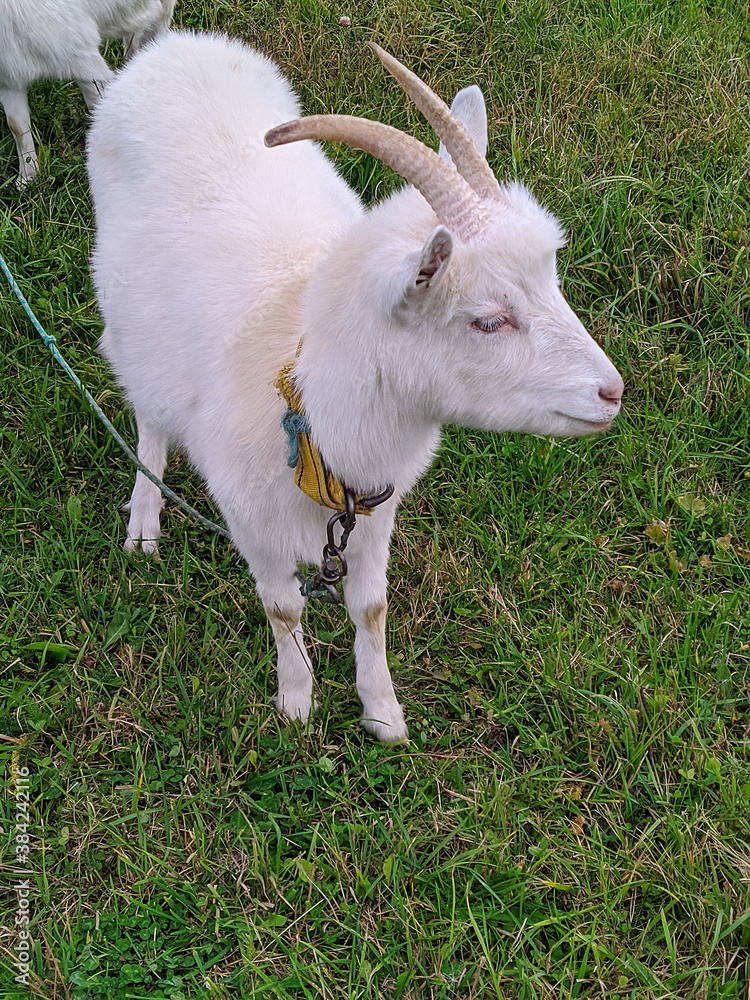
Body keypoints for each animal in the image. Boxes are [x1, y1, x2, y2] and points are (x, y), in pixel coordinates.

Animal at [86, 31, 624, 743]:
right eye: (488, 319)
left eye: (551, 282)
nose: (612, 393)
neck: (305, 397)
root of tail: (175, 46)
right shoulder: (248, 517)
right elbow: (282, 608)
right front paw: (296, 703)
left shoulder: (374, 509)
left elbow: (370, 607)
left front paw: (383, 713)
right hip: (127, 318)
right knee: (145, 405)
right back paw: (145, 515)